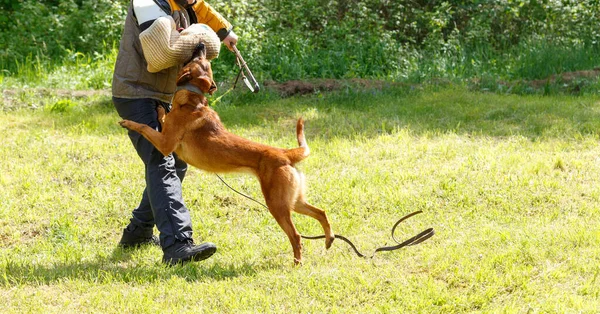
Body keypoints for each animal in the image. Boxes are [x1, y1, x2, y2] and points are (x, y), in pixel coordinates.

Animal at [117, 45, 332, 264]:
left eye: (200, 59)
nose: (201, 45)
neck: (192, 100)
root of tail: (285, 154)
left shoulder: (165, 144)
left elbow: (144, 126)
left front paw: (128, 122)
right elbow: (162, 117)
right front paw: (161, 109)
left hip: (277, 204)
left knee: (296, 236)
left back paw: (297, 263)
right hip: (293, 200)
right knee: (321, 212)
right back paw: (329, 240)